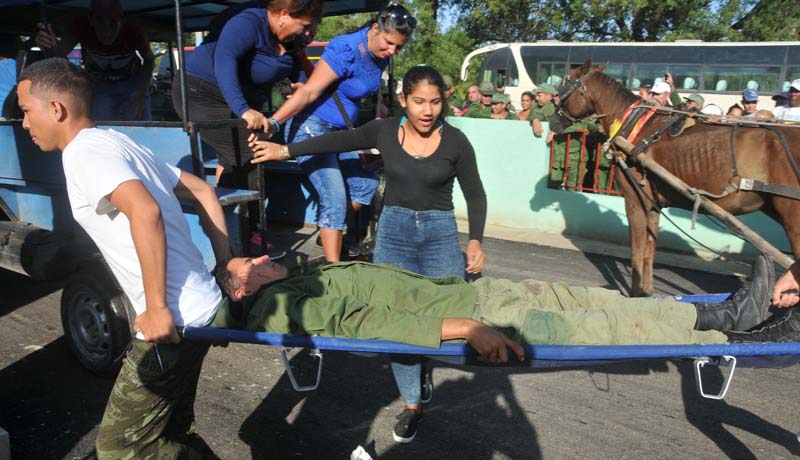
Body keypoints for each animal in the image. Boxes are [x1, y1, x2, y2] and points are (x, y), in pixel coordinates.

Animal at [552, 60, 796, 294]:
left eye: (564, 85)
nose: (553, 121)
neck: (637, 128)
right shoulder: (652, 203)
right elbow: (649, 250)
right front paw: (646, 291)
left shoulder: (635, 200)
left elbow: (637, 251)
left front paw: (635, 291)